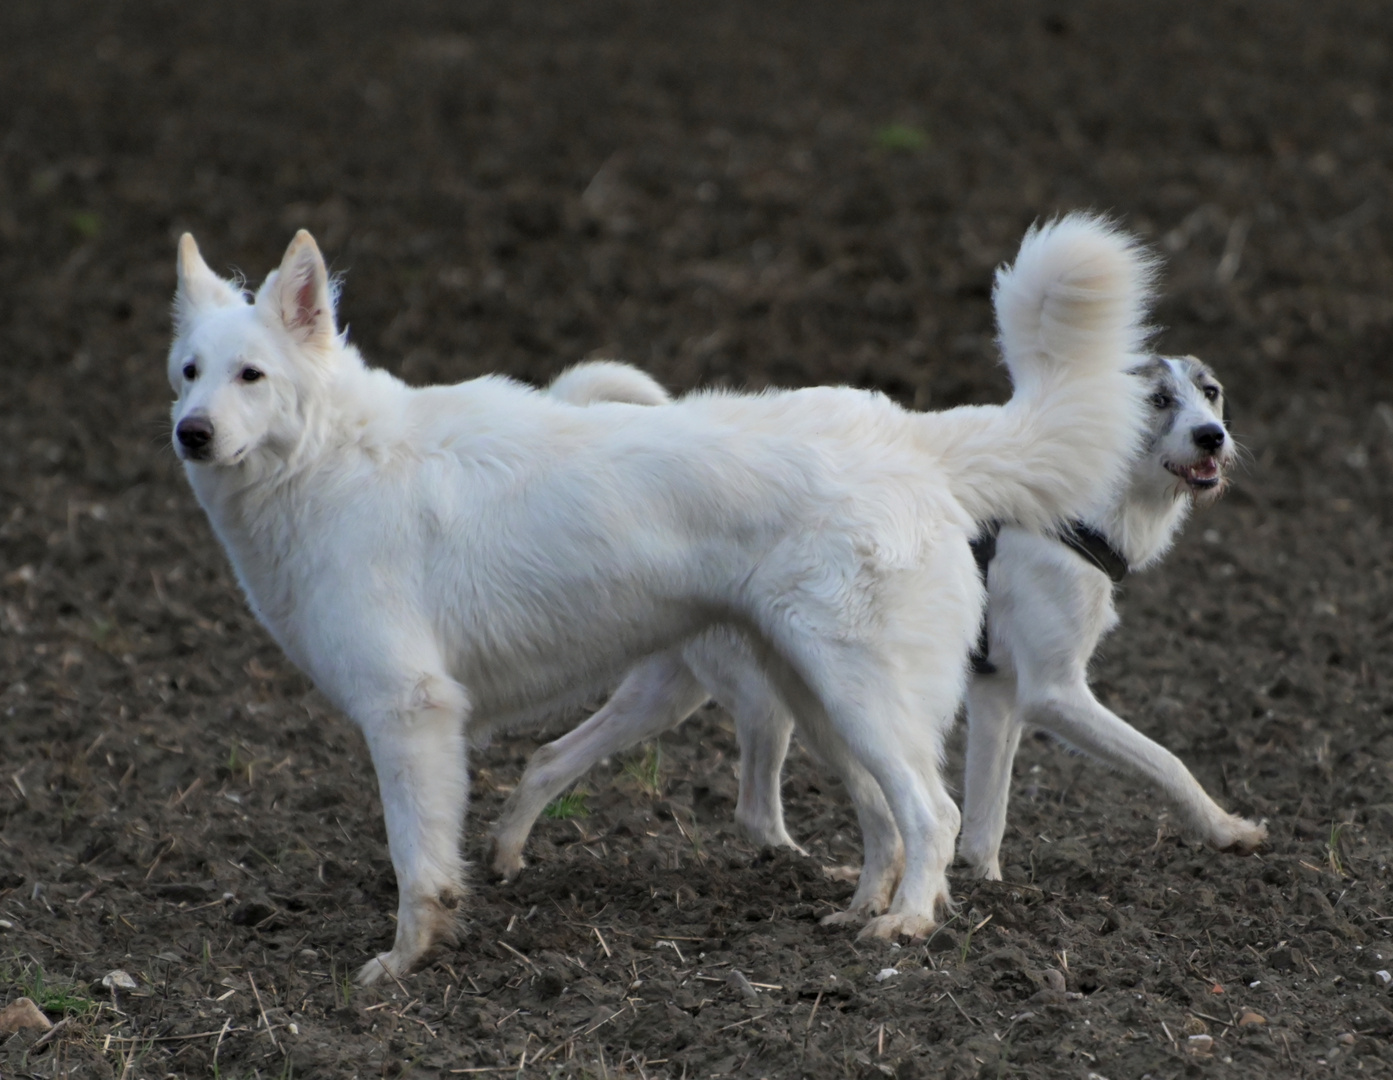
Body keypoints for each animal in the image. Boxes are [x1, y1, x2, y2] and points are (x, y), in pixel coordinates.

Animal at [168, 216, 1147, 986]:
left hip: (857, 691)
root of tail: (911, 436)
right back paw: (858, 910)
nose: (191, 434)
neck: (330, 457)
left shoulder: (409, 713)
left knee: (930, 813)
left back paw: (904, 925)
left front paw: (402, 964)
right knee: (883, 817)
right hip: (815, 696)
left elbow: (417, 862)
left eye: (251, 375)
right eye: (187, 372)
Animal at [490, 291, 1264, 891]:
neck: (1077, 512)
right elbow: (1165, 761)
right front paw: (1224, 828)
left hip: (671, 691)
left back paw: (508, 855)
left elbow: (988, 813)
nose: (1213, 437)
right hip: (777, 692)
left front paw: (981, 881)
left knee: (552, 758)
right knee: (752, 808)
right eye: (1157, 400)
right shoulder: (1055, 693)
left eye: (1211, 391)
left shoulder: (999, 696)